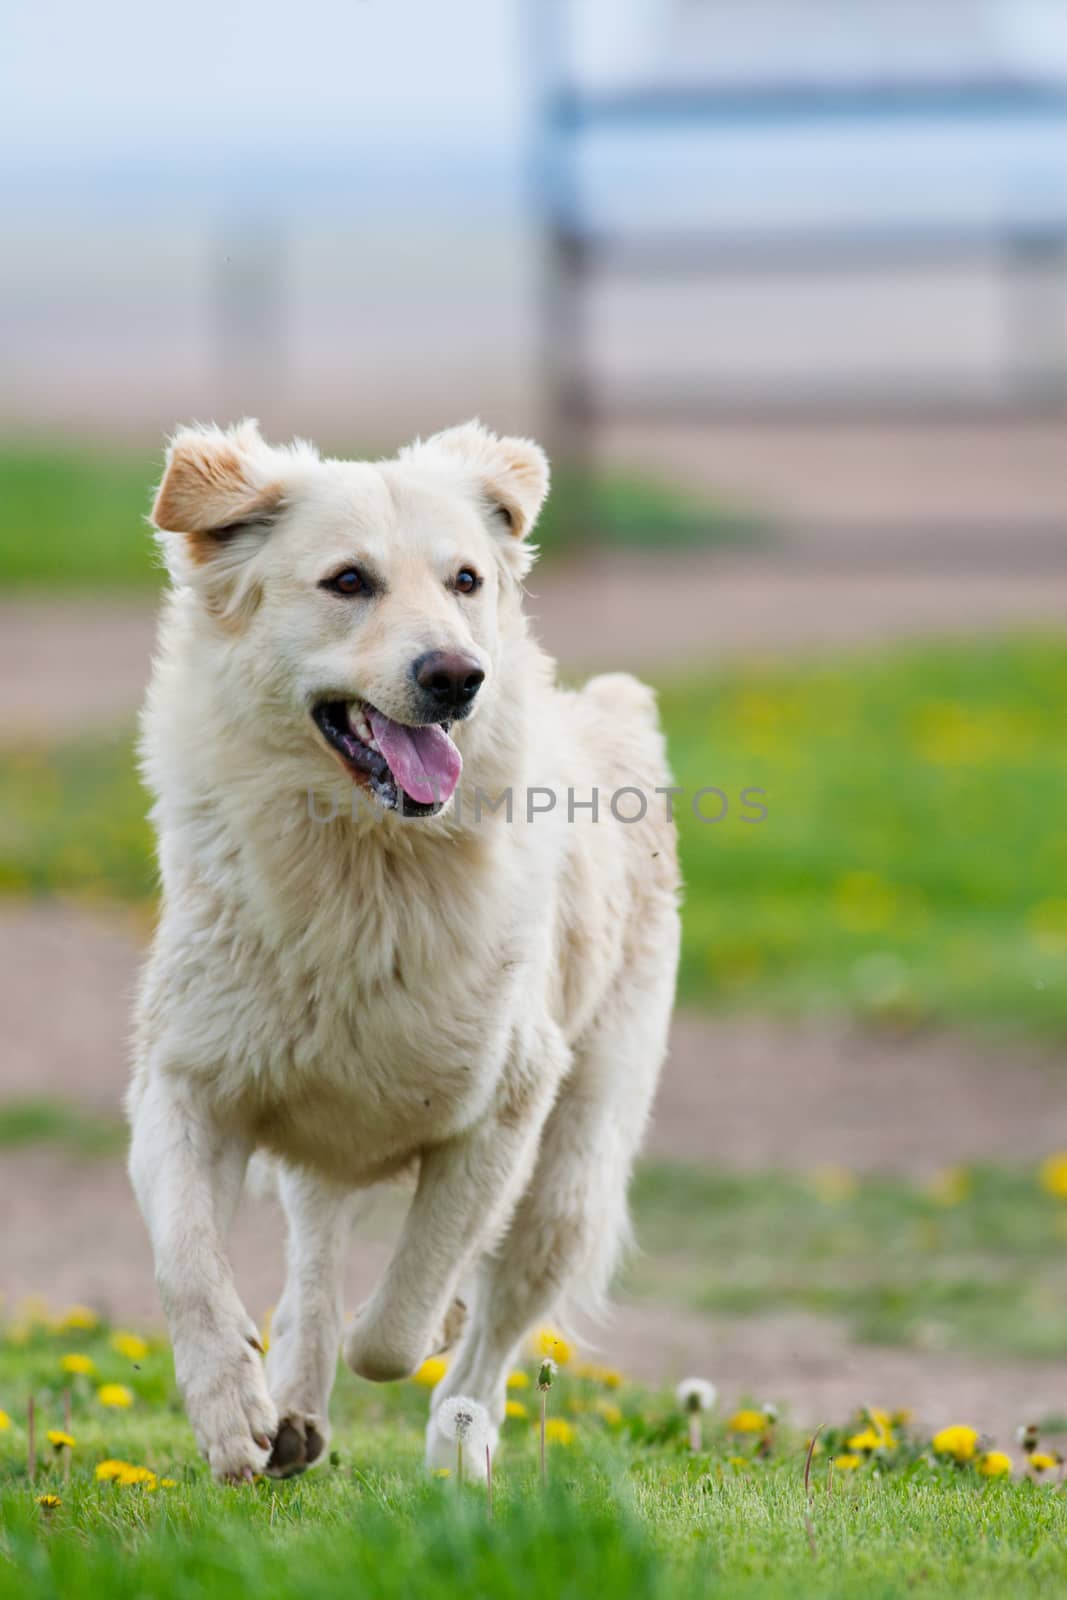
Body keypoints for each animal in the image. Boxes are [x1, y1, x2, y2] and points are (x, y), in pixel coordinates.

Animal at [129, 419, 681, 1478]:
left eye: (466, 580)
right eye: (348, 581)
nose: (457, 677)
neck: (362, 867)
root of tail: (610, 719)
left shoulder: (504, 1110)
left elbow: (398, 1323)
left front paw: (425, 1323)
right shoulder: (186, 1081)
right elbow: (186, 1259)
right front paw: (231, 1410)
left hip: (569, 1181)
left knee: (487, 1346)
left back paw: (458, 1442)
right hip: (315, 1149)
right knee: (310, 1270)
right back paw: (293, 1410)